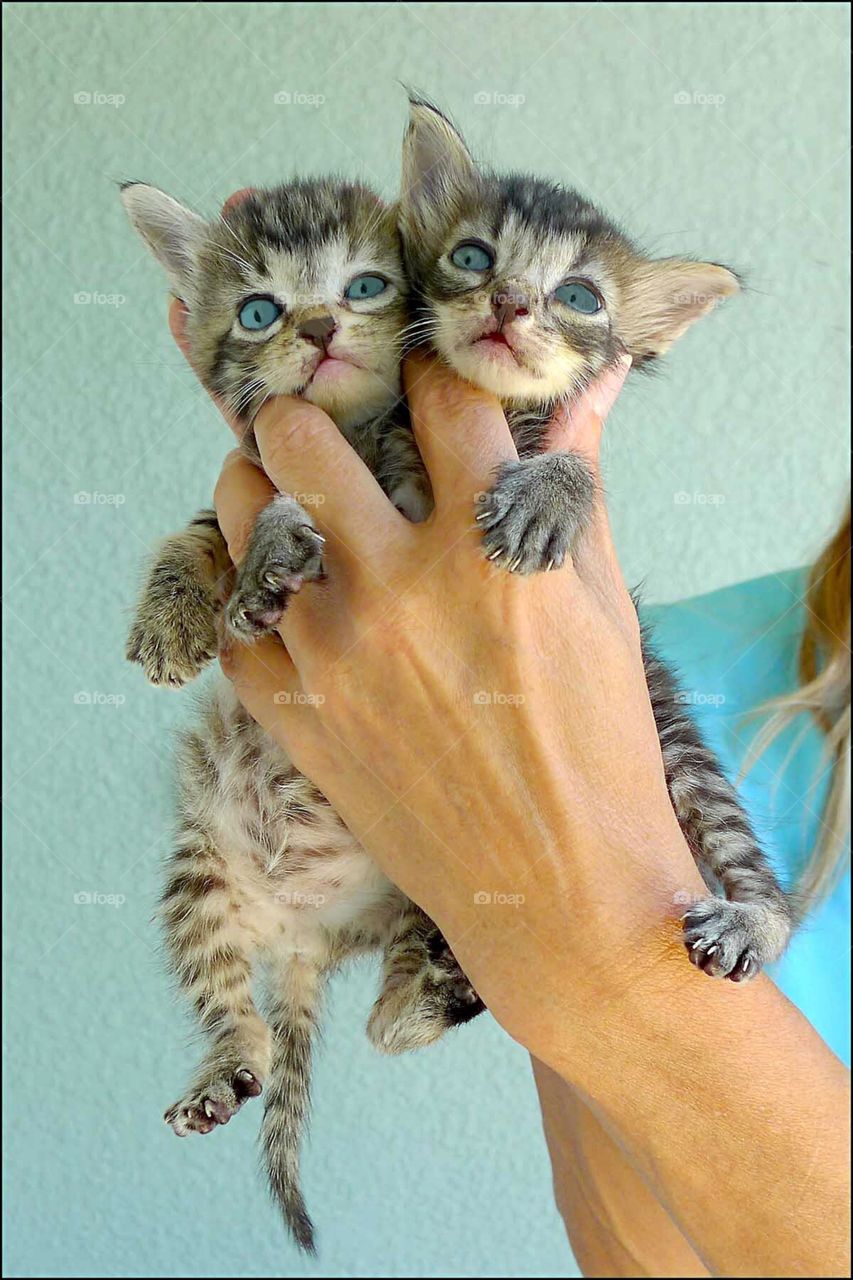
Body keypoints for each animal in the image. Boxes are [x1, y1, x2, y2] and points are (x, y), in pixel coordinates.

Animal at [120, 175, 479, 1254]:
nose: (318, 327)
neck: (348, 436)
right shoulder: (236, 488)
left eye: (361, 285)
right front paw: (173, 617)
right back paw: (224, 1069)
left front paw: (265, 567)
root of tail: (307, 936)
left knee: (401, 996)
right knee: (233, 1008)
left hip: (424, 884)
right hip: (198, 873)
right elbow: (197, 532)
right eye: (258, 310)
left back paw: (422, 999)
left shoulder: (409, 482)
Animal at [394, 97, 794, 977]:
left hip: (671, 729)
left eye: (577, 296)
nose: (509, 302)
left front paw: (549, 496)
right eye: (471, 256)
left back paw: (753, 920)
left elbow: (573, 466)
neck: (503, 407)